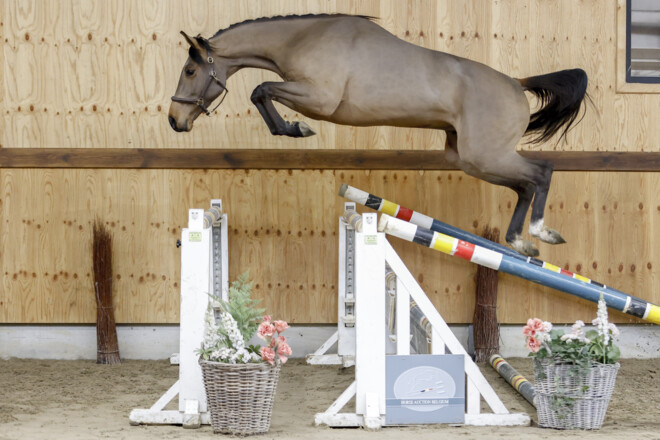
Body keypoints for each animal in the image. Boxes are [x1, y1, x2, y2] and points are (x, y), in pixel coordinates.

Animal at [168, 14, 589, 257]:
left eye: (190, 71)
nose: (175, 120)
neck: (303, 37)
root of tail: (518, 84)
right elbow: (262, 93)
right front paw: (291, 129)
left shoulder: (319, 99)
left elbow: (261, 90)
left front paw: (295, 129)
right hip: (471, 159)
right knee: (524, 185)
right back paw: (521, 242)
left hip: (485, 156)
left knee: (541, 173)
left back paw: (540, 233)